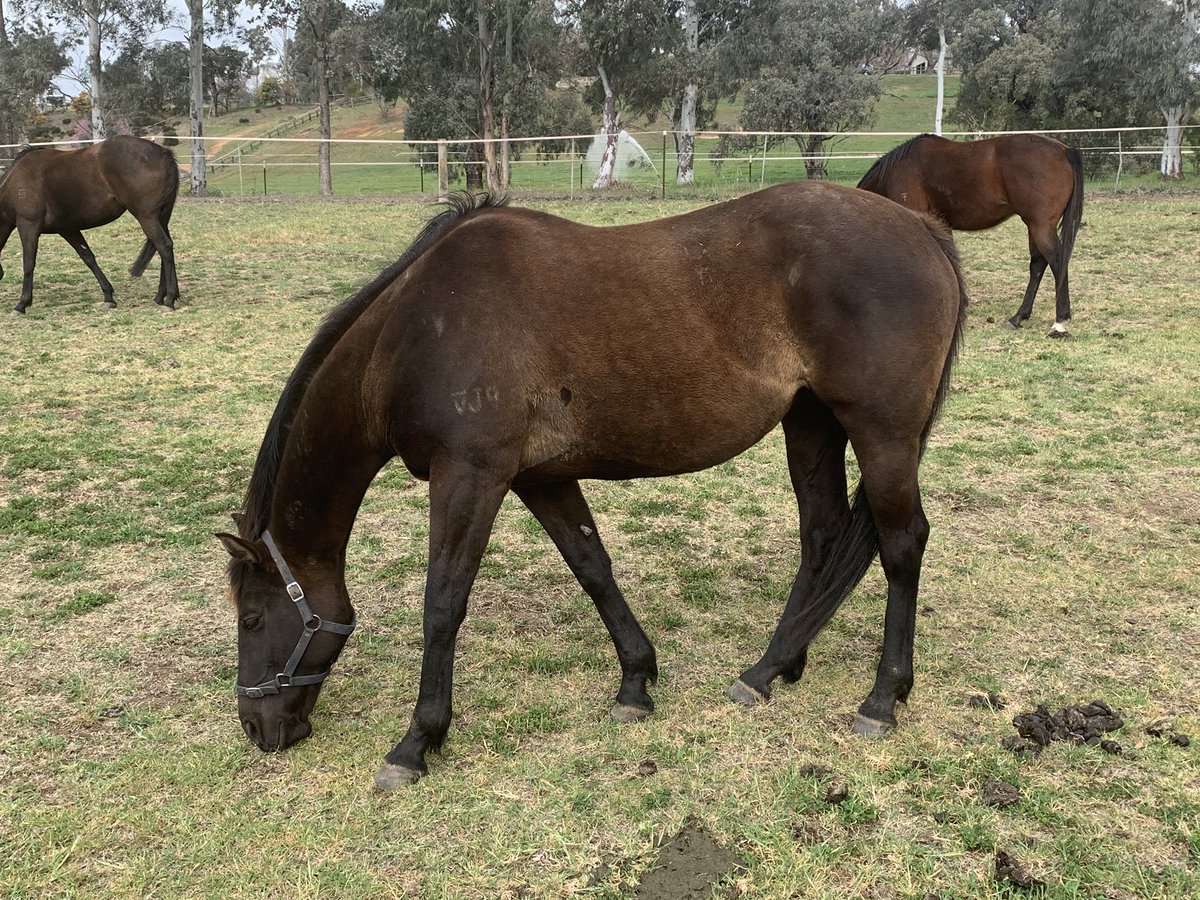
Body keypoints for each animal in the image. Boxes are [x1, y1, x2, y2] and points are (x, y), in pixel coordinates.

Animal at [0, 135, 180, 313]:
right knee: (164, 247)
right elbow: (88, 257)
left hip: (147, 217)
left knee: (164, 247)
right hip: (160, 218)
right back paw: (161, 296)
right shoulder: (68, 229)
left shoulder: (28, 225)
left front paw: (22, 304)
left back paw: (169, 299)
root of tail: (163, 153)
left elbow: (28, 262)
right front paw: (108, 296)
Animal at [216, 183, 969, 788]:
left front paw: (417, 742)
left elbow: (443, 605)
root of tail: (921, 228)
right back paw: (770, 670)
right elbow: (593, 568)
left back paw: (881, 699)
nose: (256, 728)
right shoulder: (541, 478)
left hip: (882, 434)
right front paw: (636, 682)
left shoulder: (470, 477)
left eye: (251, 618)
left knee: (903, 545)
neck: (410, 334)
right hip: (811, 424)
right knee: (823, 536)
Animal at [858, 133, 1083, 337]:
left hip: (1040, 226)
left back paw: (1059, 322)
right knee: (1038, 264)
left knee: (1056, 261)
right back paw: (1019, 317)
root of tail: (1065, 150)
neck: (897, 172)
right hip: (1036, 226)